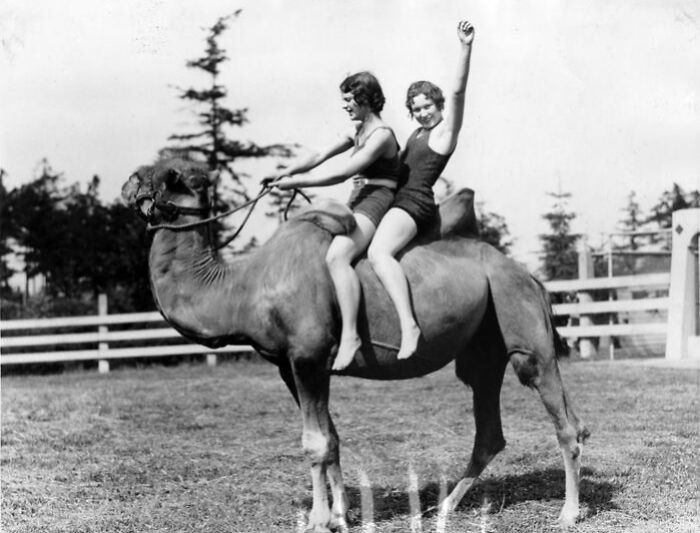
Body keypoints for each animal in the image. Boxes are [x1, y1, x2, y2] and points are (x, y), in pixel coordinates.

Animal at [121, 159, 592, 532]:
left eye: (164, 174)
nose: (126, 185)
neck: (241, 288)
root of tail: (530, 276)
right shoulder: (290, 365)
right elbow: (330, 437)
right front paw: (340, 514)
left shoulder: (309, 356)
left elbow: (314, 442)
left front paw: (316, 519)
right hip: (483, 348)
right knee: (490, 430)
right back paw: (443, 506)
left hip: (521, 322)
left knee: (561, 415)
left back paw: (568, 512)